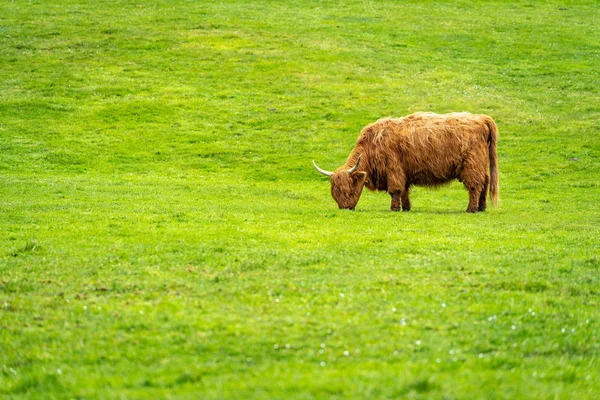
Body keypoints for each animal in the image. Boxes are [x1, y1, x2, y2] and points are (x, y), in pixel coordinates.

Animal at [312, 112, 500, 212]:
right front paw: (406, 208)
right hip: (480, 165)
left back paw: (471, 209)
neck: (371, 147)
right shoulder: (404, 172)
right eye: (334, 192)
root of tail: (481, 118)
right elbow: (404, 191)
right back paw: (481, 208)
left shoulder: (393, 169)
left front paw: (394, 209)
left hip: (472, 165)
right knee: (485, 183)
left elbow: (395, 190)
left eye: (349, 189)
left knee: (475, 186)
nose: (345, 208)